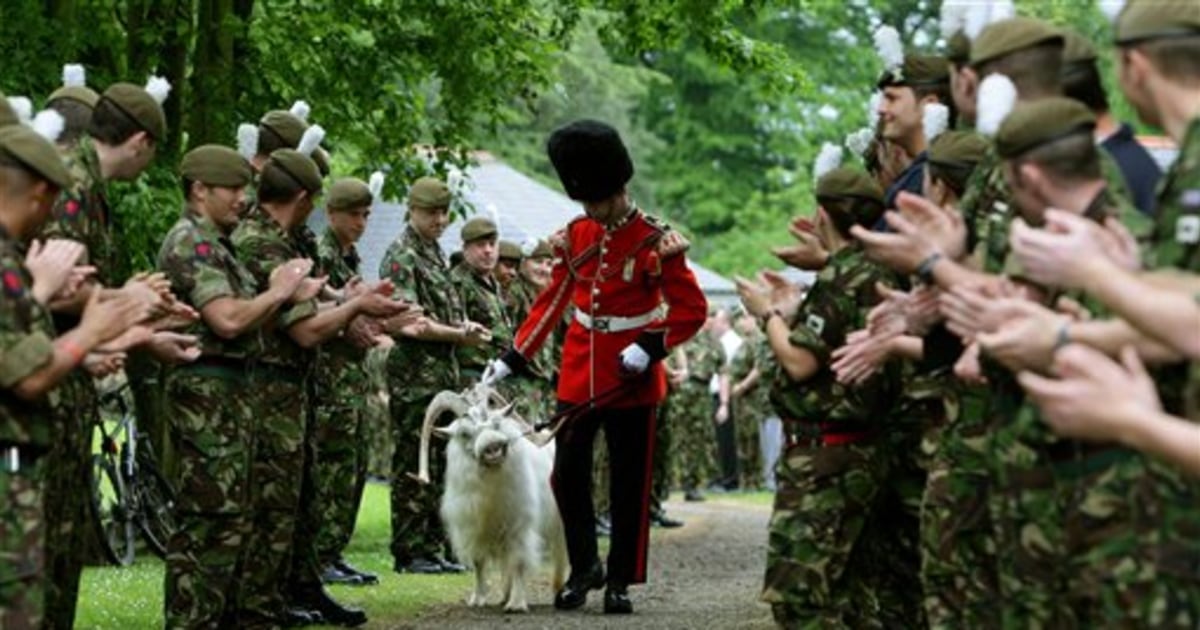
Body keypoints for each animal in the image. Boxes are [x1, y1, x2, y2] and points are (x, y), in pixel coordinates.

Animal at [417, 384, 566, 609]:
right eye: (464, 433)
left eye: (496, 424)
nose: (493, 447)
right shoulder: (475, 530)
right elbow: (479, 564)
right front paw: (478, 599)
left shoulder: (519, 527)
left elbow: (519, 561)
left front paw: (516, 604)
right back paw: (504, 594)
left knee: (560, 553)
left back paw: (558, 590)